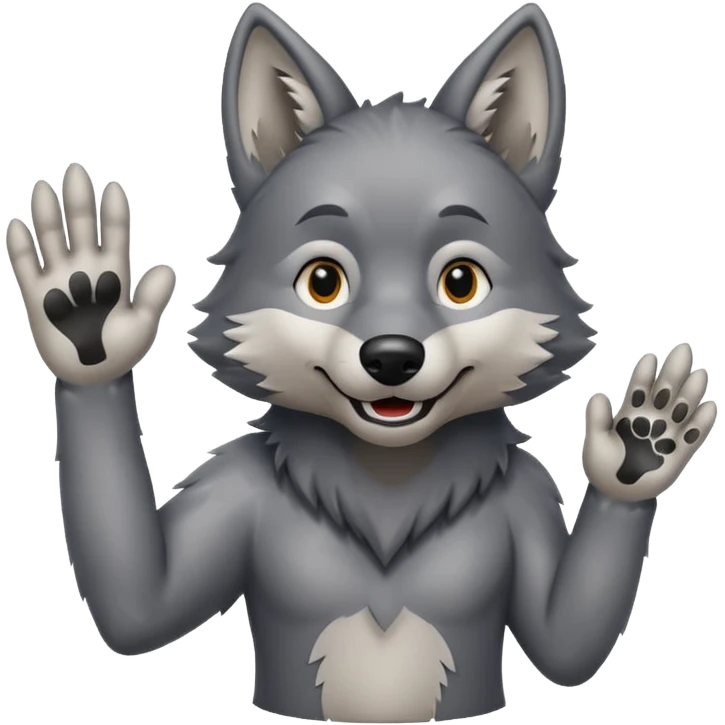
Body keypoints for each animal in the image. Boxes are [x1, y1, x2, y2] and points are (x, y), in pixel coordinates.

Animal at [6, 2, 718, 721]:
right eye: (324, 281)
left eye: (461, 282)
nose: (392, 356)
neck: (386, 483)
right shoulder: (236, 483)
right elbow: (141, 608)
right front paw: (88, 324)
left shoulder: (527, 493)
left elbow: (566, 644)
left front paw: (640, 451)